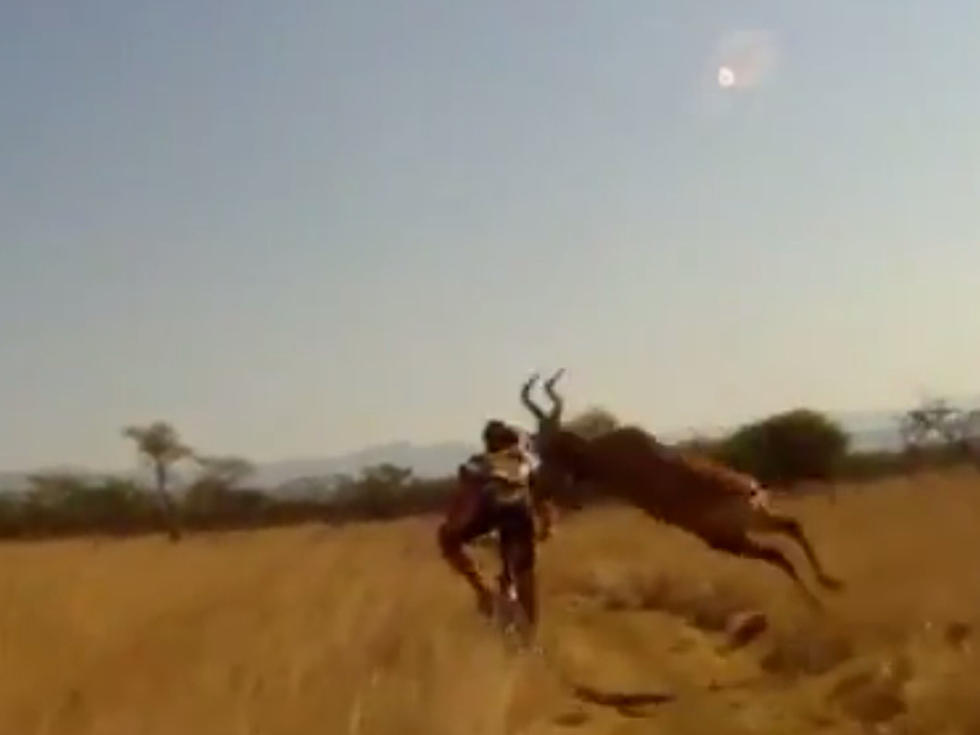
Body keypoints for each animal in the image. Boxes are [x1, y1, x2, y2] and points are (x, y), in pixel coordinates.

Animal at [520, 370, 844, 608]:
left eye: (549, 447)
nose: (536, 482)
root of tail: (750, 490)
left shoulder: (592, 490)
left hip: (730, 539)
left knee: (778, 554)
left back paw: (818, 603)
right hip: (752, 522)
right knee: (791, 527)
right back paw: (829, 585)